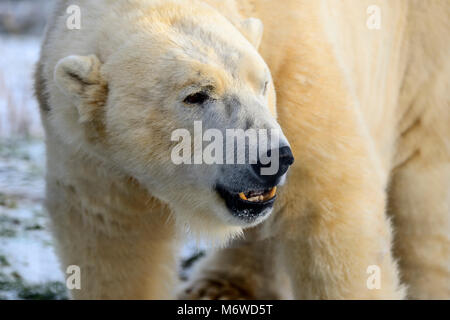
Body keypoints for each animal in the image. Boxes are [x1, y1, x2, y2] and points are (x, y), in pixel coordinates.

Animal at [36, 0, 450, 300]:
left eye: (262, 83)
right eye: (196, 95)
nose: (274, 159)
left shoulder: (297, 72)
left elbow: (330, 212)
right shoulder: (91, 153)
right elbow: (115, 242)